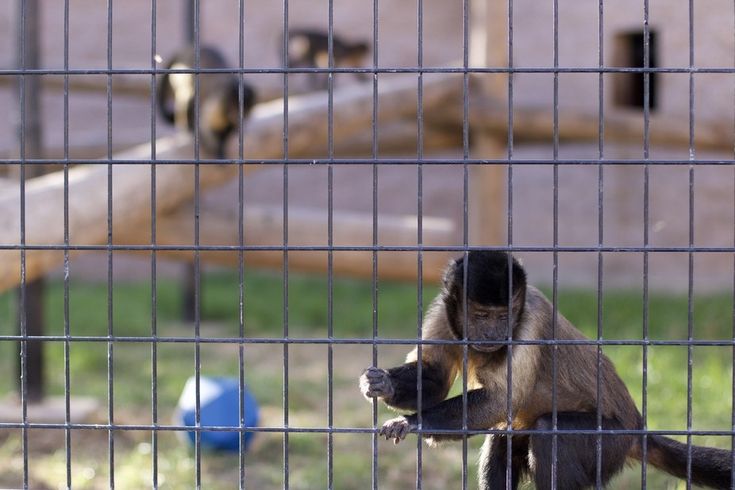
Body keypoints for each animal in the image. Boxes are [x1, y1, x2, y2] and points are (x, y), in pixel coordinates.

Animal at [360, 251, 732, 488]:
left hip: (611, 441)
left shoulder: (529, 323)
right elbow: (435, 378)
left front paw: (411, 423)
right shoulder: (443, 312)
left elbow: (500, 400)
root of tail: (637, 428)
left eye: (503, 316)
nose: (493, 333)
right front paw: (383, 385)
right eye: (481, 316)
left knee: (548, 430)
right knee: (504, 438)